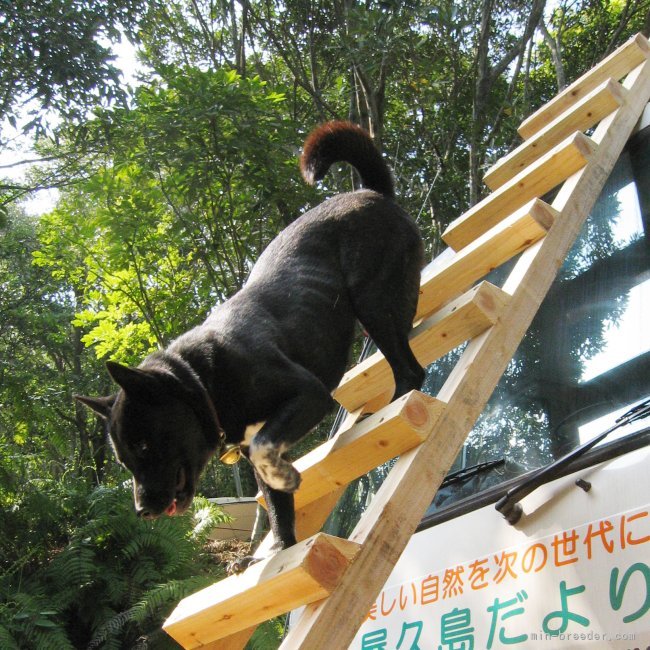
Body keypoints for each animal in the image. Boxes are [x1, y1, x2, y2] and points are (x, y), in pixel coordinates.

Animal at [76, 120, 422, 556]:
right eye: (124, 461)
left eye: (143, 446)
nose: (143, 511)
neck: (203, 379)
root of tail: (372, 192)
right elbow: (277, 508)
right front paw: (284, 547)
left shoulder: (307, 395)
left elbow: (264, 453)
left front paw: (285, 476)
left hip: (372, 302)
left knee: (410, 370)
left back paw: (397, 402)